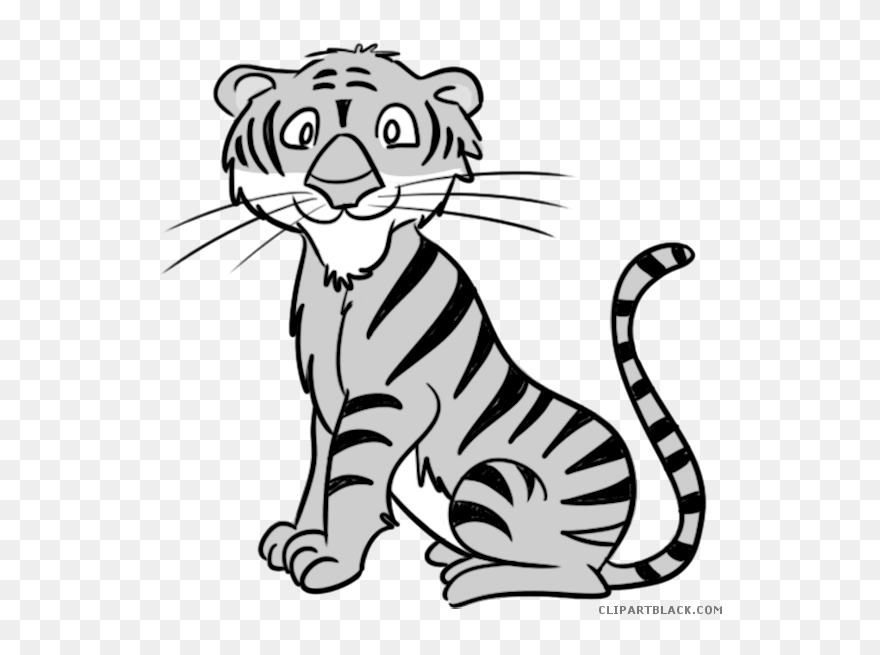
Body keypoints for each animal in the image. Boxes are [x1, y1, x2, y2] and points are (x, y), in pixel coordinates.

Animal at [184, 44, 706, 607]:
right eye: (302, 132)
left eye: (393, 130)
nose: (343, 188)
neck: (345, 273)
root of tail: (612, 546)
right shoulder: (326, 404)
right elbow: (318, 474)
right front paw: (299, 539)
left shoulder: (386, 401)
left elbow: (349, 482)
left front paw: (331, 563)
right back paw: (451, 556)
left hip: (494, 482)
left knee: (581, 579)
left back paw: (472, 579)